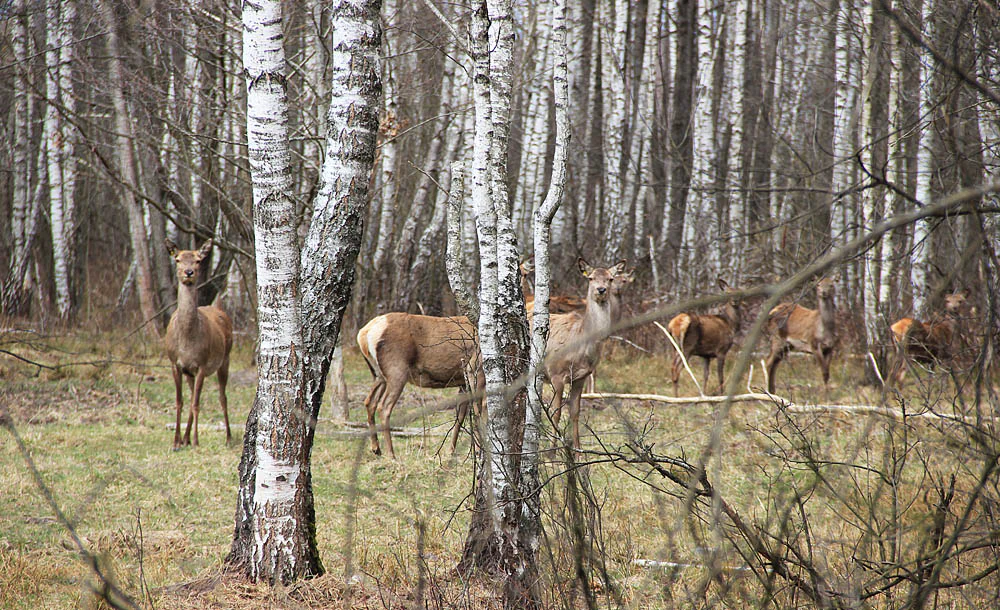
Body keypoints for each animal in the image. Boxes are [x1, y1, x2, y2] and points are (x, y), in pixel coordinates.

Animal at [163, 239, 233, 449]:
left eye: (198, 260)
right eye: (177, 259)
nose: (188, 272)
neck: (187, 341)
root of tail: (218, 307)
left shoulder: (202, 363)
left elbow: (196, 403)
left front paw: (195, 441)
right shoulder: (175, 363)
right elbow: (180, 402)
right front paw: (176, 441)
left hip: (225, 358)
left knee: (222, 397)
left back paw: (228, 437)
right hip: (190, 372)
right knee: (194, 395)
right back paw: (185, 438)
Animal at [357, 312, 480, 458]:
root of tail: (364, 334)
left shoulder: (463, 382)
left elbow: (460, 416)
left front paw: (451, 451)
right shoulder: (475, 371)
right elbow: (480, 412)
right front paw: (481, 450)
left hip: (379, 375)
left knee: (369, 402)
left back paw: (376, 449)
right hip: (396, 371)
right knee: (384, 407)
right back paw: (391, 454)